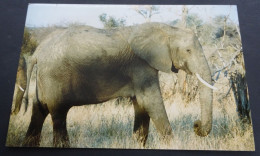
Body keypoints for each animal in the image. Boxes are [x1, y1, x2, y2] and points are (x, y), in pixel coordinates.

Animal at [18, 22, 215, 147]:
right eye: (188, 51)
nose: (196, 125)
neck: (167, 29)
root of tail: (38, 53)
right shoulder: (141, 66)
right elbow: (151, 102)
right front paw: (174, 145)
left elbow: (141, 105)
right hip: (54, 76)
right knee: (58, 113)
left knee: (39, 110)